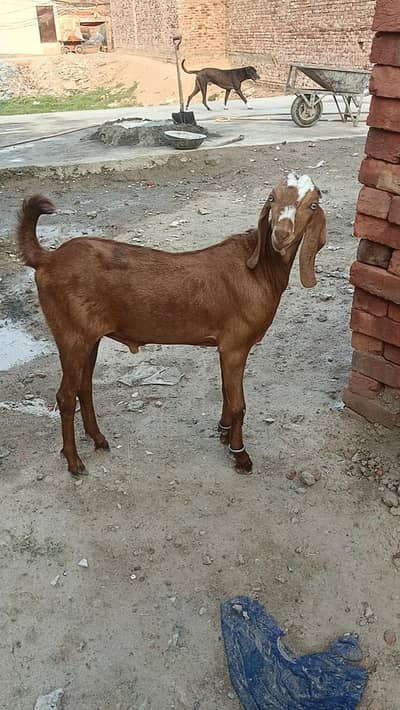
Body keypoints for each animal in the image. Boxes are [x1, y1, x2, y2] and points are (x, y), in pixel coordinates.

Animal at [16, 174, 326, 477]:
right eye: (271, 199)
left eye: (312, 205)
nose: (281, 235)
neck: (259, 270)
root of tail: (48, 259)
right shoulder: (235, 345)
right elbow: (238, 403)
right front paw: (240, 455)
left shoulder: (226, 348)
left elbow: (227, 393)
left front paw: (224, 431)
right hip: (70, 335)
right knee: (66, 396)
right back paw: (73, 461)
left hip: (89, 337)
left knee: (84, 388)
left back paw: (98, 439)